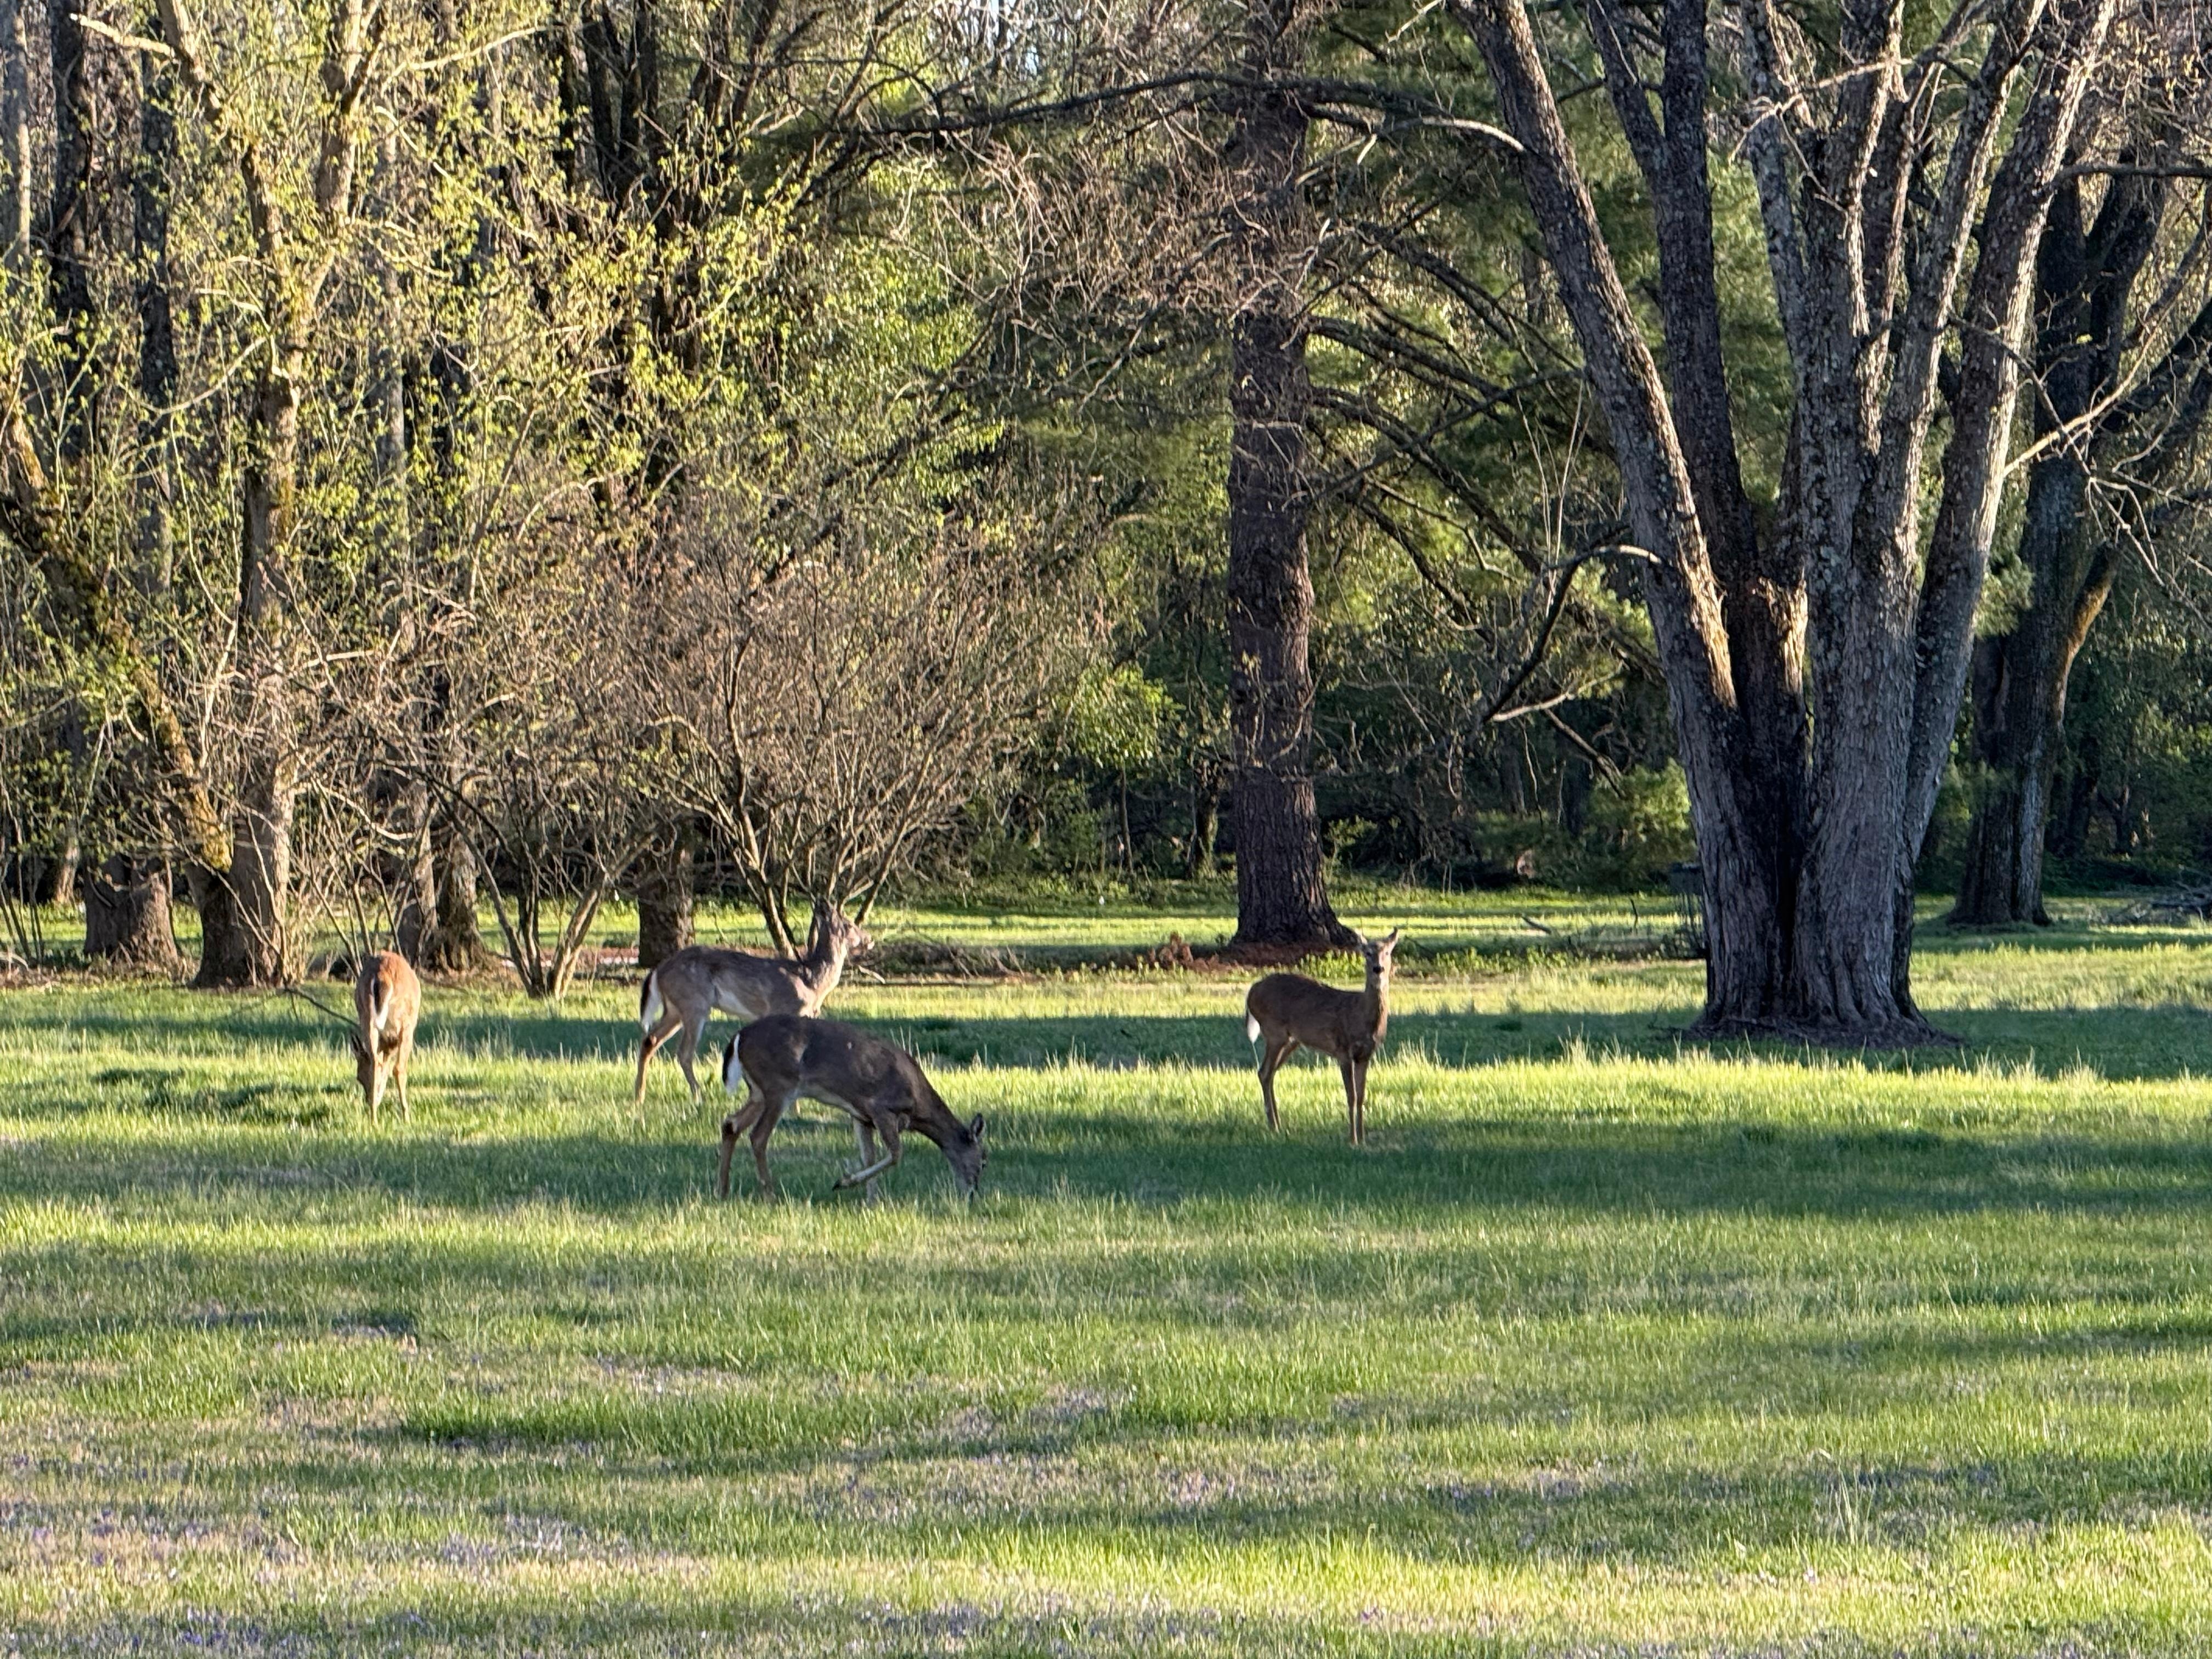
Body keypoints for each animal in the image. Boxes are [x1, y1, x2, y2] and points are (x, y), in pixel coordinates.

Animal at [351, 949, 422, 1125]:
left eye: (359, 1077)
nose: (368, 1099)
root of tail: (381, 976)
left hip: (367, 1017)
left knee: (375, 1063)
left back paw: (374, 1120)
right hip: (405, 1022)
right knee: (398, 1068)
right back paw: (406, 1117)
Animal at [634, 900, 871, 1107]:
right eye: (850, 925)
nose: (869, 939)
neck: (811, 981)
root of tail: (658, 971)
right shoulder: (787, 1009)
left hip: (675, 1008)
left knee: (650, 1040)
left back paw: (640, 1097)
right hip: (694, 1003)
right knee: (683, 1052)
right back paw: (698, 1098)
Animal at [717, 1014, 986, 1202]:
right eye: (984, 1162)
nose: (972, 1194)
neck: (918, 1106)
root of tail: (739, 1037)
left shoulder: (861, 1116)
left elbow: (869, 1156)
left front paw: (873, 1201)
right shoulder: (880, 1108)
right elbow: (896, 1154)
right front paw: (843, 1183)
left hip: (758, 1092)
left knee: (731, 1124)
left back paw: (723, 1191)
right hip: (778, 1085)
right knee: (758, 1135)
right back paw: (770, 1195)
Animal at [1243, 928, 1402, 1145]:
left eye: (1387, 952)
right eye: (1367, 953)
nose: (1378, 969)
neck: (1360, 1016)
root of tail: (1251, 992)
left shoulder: (1366, 1055)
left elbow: (1362, 1096)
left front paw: (1363, 1138)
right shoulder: (1343, 1050)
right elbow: (1351, 1096)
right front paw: (1353, 1140)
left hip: (1291, 1040)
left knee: (1268, 1073)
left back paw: (1278, 1125)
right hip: (1274, 1031)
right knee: (1265, 1072)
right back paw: (1274, 1126)